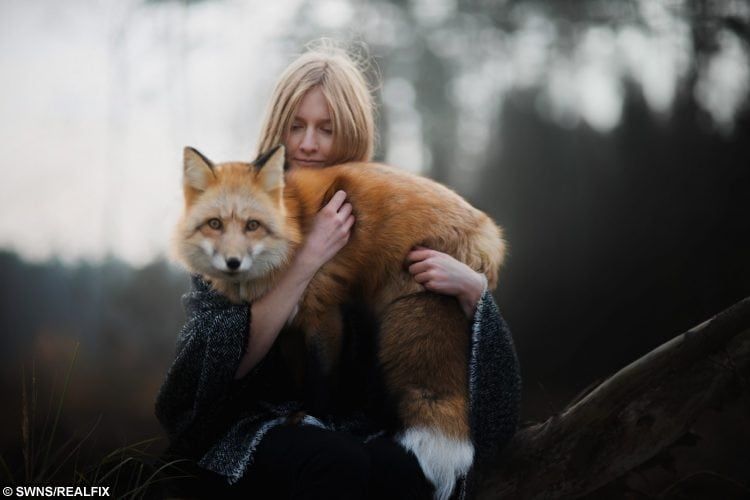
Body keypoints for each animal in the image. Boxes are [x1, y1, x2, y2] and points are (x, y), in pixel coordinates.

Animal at [176, 146, 506, 500]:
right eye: (214, 224)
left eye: (253, 225)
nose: (233, 262)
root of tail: (487, 236)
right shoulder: (288, 329)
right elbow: (297, 375)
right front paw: (291, 409)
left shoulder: (324, 314)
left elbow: (320, 379)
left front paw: (310, 417)